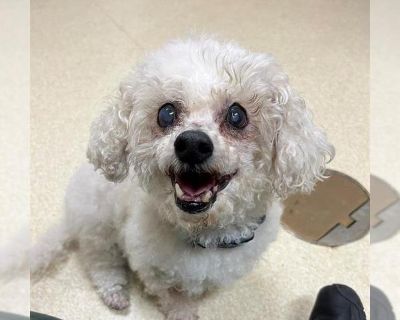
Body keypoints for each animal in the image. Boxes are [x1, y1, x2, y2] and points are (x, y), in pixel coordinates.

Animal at [32, 38, 334, 320]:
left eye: (237, 115)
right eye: (166, 113)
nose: (192, 145)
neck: (205, 233)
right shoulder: (152, 269)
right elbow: (174, 296)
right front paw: (183, 311)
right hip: (99, 226)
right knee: (101, 262)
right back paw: (114, 291)